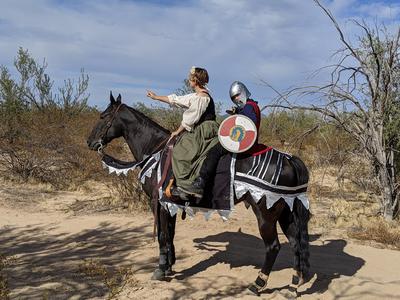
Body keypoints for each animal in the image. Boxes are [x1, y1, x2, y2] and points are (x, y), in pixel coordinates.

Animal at [87, 94, 310, 296]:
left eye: (103, 116)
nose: (90, 142)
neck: (155, 149)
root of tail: (289, 159)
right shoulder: (170, 206)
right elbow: (170, 234)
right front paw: (169, 265)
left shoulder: (158, 204)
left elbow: (162, 235)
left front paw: (161, 268)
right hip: (285, 211)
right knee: (295, 243)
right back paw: (293, 285)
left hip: (266, 213)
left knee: (273, 247)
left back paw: (258, 284)